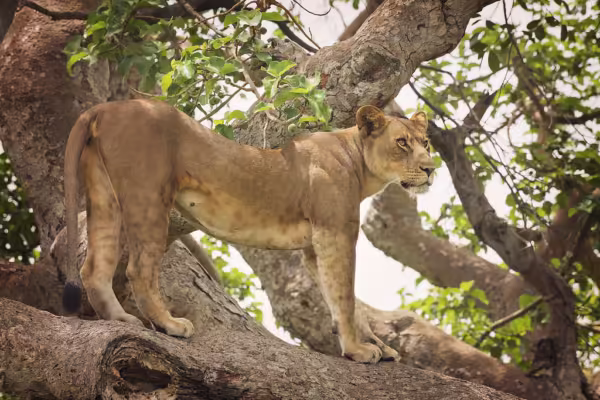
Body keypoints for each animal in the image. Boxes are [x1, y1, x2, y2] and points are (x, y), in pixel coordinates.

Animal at [62, 99, 435, 364]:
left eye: (426, 143)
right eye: (402, 143)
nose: (431, 169)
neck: (358, 161)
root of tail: (106, 106)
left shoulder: (315, 249)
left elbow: (346, 301)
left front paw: (379, 347)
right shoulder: (335, 233)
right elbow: (344, 298)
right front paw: (358, 351)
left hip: (104, 195)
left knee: (94, 268)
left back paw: (121, 319)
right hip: (149, 196)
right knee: (139, 268)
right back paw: (170, 325)